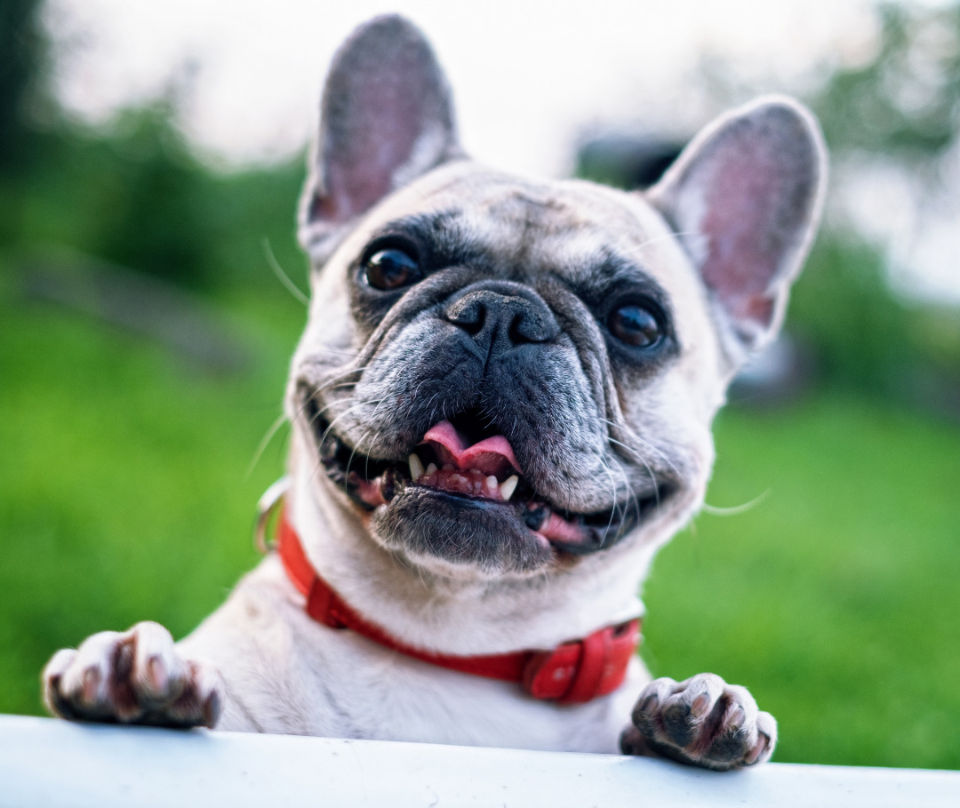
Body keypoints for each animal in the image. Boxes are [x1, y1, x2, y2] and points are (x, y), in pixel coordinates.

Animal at [43, 12, 824, 772]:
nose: (503, 313)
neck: (449, 648)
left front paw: (700, 711)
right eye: (389, 264)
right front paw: (126, 676)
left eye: (637, 321)